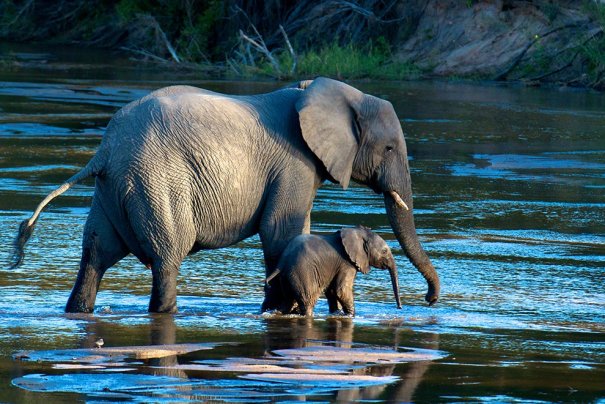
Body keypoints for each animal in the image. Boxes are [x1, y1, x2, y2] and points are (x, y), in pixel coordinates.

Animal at [264, 226, 402, 318]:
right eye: (384, 251)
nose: (399, 308)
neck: (357, 232)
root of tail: (282, 261)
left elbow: (331, 291)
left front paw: (337, 313)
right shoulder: (346, 263)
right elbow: (340, 290)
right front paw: (350, 316)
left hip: (288, 276)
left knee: (288, 301)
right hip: (302, 272)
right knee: (307, 301)